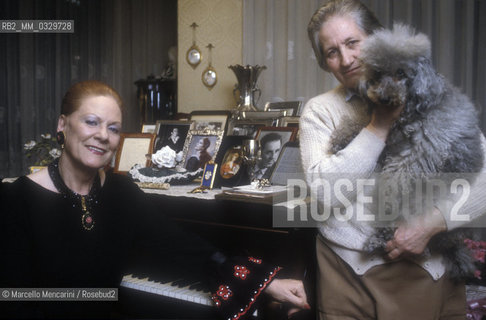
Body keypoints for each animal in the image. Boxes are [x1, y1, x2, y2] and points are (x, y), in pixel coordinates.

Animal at [332, 24, 484, 280]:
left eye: (401, 73)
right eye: (377, 73)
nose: (383, 97)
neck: (410, 111)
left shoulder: (420, 153)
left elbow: (394, 182)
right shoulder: (388, 138)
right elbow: (361, 125)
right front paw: (340, 138)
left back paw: (379, 239)